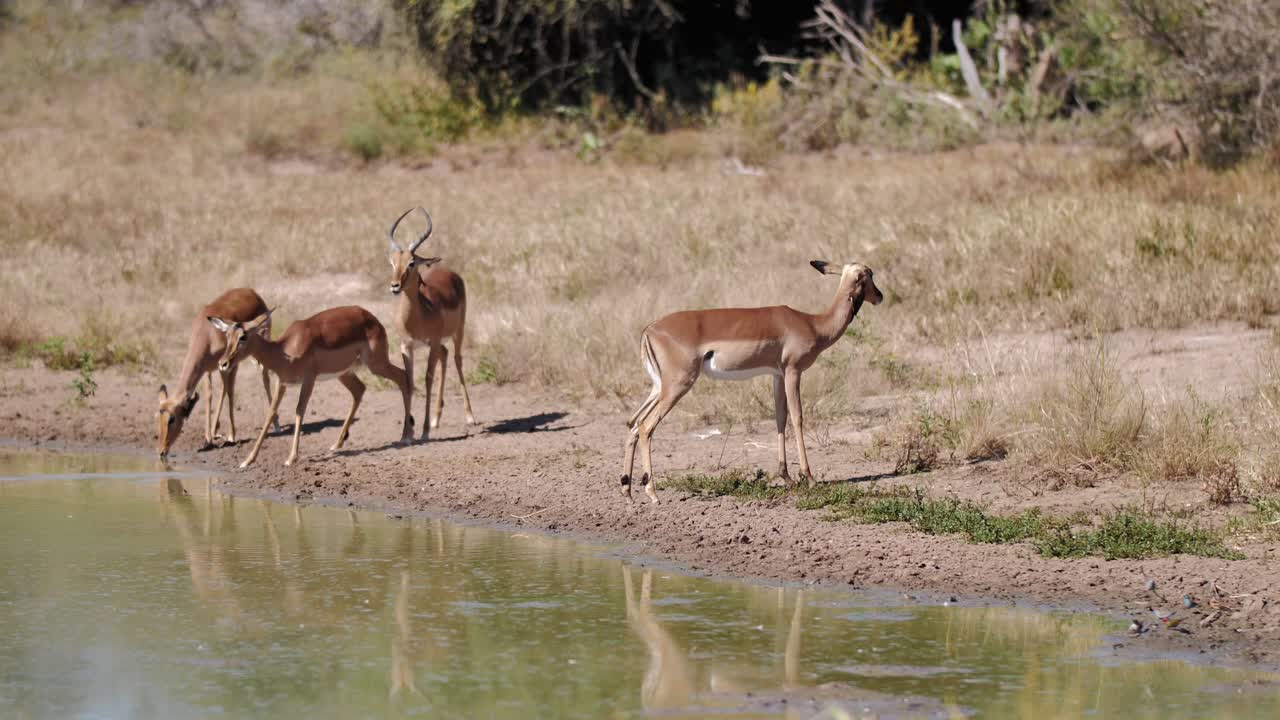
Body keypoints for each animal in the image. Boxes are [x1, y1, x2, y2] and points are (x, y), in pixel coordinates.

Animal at [156, 288, 276, 460]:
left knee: (263, 377)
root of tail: (251, 292)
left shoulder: (228, 365)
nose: (161, 451)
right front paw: (208, 438)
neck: (206, 333)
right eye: (158, 417)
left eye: (172, 419)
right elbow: (209, 396)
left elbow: (229, 393)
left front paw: (231, 435)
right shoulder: (207, 369)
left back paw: (276, 425)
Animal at [208, 305, 413, 468]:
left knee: (403, 378)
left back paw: (406, 436)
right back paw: (337, 444)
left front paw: (291, 458)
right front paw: (247, 461)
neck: (283, 351)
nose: (223, 363)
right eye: (227, 335)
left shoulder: (309, 379)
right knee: (360, 389)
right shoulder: (282, 383)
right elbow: (271, 413)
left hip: (376, 364)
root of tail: (372, 319)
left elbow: (300, 410)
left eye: (243, 336)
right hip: (345, 373)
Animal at [386, 207, 475, 441]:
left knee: (457, 359)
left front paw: (424, 432)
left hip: (457, 332)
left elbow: (427, 379)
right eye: (392, 263)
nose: (395, 286)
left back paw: (469, 417)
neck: (418, 317)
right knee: (445, 355)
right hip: (437, 344)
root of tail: (448, 271)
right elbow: (409, 382)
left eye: (411, 263)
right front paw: (406, 434)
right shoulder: (406, 346)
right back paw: (436, 419)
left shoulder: (432, 342)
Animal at [622, 261, 883, 503]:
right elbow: (797, 418)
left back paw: (628, 491)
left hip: (658, 389)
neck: (813, 324)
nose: (880, 296)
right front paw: (809, 478)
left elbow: (780, 419)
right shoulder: (793, 372)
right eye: (869, 274)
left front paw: (787, 477)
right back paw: (652, 494)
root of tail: (649, 330)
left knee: (633, 423)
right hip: (677, 386)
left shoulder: (777, 375)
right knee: (645, 427)